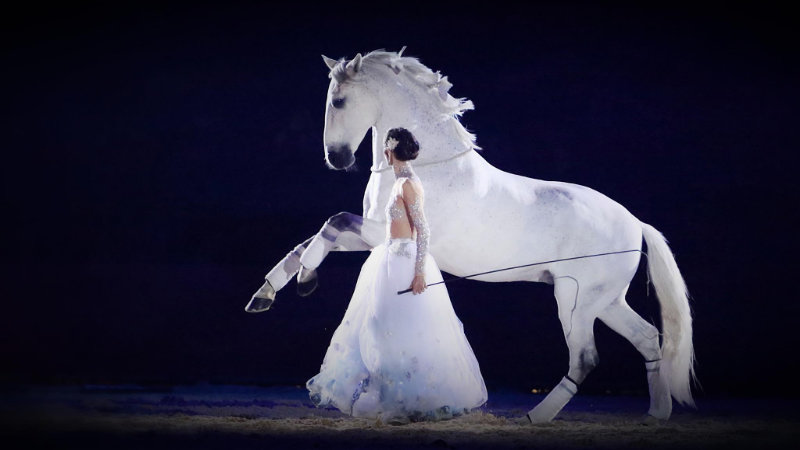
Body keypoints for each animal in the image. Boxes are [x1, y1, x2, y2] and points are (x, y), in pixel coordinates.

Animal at [246, 49, 696, 423]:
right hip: (606, 300)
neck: (426, 164)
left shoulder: (381, 233)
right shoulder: (375, 236)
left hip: (577, 300)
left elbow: (332, 222)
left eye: (339, 102)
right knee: (649, 339)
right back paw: (656, 414)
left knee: (585, 359)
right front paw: (266, 294)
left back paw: (537, 415)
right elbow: (311, 239)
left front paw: (306, 280)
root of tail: (635, 223)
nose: (336, 159)